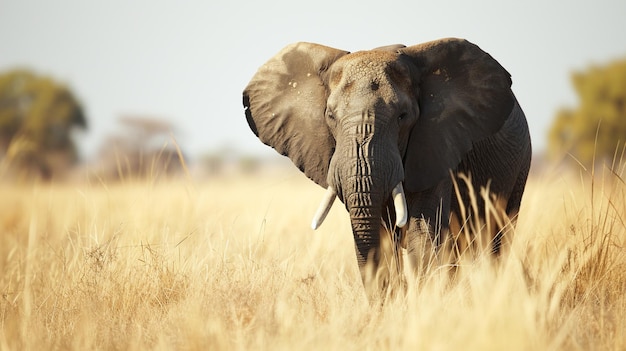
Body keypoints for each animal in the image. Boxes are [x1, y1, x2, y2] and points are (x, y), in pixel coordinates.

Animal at [241, 38, 528, 300]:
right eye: (330, 116)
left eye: (402, 116)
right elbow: (381, 234)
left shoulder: (436, 145)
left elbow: (424, 234)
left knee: (494, 242)